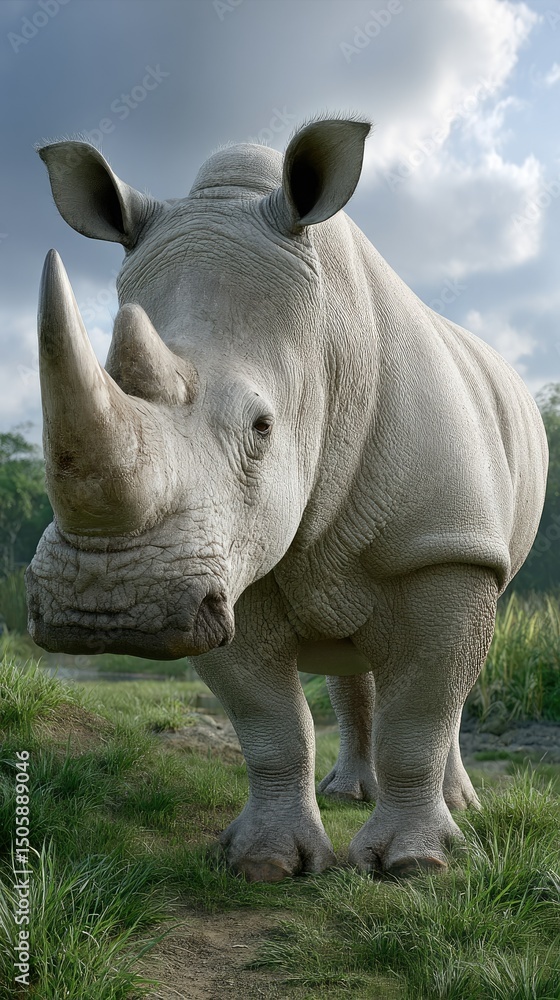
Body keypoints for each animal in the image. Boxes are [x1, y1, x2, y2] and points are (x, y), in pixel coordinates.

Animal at [26, 117, 548, 880]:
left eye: (262, 428)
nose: (105, 606)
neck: (328, 344)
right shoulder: (217, 567)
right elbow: (270, 723)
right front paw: (267, 863)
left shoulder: (442, 546)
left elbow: (421, 711)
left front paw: (414, 865)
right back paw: (349, 793)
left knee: (452, 675)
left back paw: (457, 808)